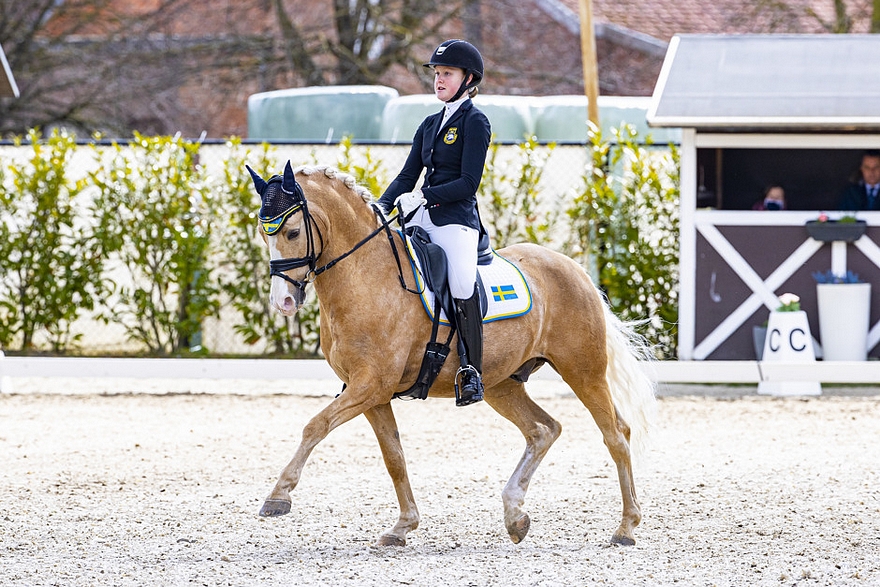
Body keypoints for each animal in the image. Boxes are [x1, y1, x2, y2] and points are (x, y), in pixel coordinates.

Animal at [246, 160, 652, 548]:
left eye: (292, 232)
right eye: (264, 233)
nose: (283, 302)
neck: (366, 276)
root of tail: (576, 269)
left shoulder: (370, 385)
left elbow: (315, 425)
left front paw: (277, 497)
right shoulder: (372, 393)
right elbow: (394, 458)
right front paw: (403, 526)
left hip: (583, 370)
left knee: (616, 434)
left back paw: (626, 527)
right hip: (502, 383)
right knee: (543, 429)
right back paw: (515, 515)